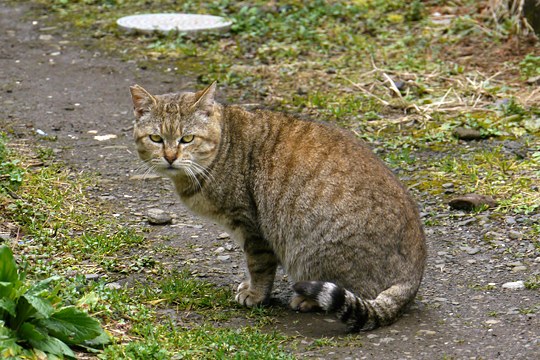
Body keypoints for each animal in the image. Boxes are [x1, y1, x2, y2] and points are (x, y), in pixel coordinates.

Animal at [130, 82, 426, 332]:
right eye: (156, 138)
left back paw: (307, 300)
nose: (170, 156)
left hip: (313, 249)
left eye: (187, 139)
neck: (223, 148)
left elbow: (259, 266)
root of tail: (413, 277)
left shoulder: (252, 227)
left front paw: (256, 294)